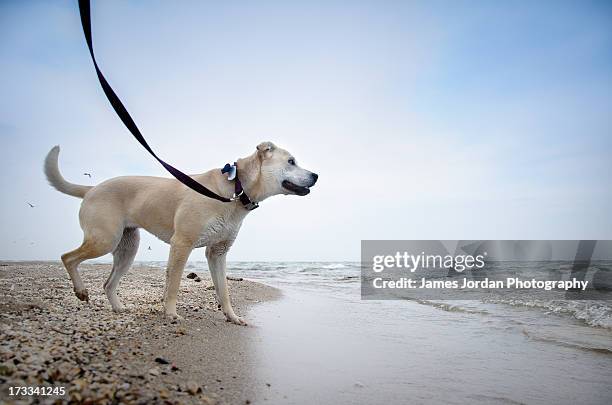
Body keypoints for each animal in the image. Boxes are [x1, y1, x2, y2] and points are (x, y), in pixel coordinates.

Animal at [45, 140, 318, 324]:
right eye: (291, 161)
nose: (316, 175)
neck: (234, 190)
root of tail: (91, 189)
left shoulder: (217, 253)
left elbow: (224, 290)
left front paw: (231, 316)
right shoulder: (182, 244)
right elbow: (174, 284)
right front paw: (171, 313)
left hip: (127, 249)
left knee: (108, 283)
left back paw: (119, 308)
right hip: (104, 239)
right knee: (68, 258)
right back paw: (81, 290)